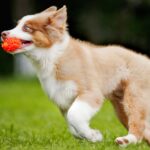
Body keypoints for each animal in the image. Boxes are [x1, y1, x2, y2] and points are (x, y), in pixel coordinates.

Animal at [1, 5, 150, 146]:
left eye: (26, 28)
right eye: (17, 25)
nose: (3, 34)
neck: (51, 57)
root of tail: (146, 60)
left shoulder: (90, 93)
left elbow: (74, 116)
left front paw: (93, 135)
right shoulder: (64, 100)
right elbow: (73, 127)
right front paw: (92, 136)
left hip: (134, 97)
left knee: (138, 124)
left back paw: (126, 140)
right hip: (120, 107)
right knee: (145, 129)